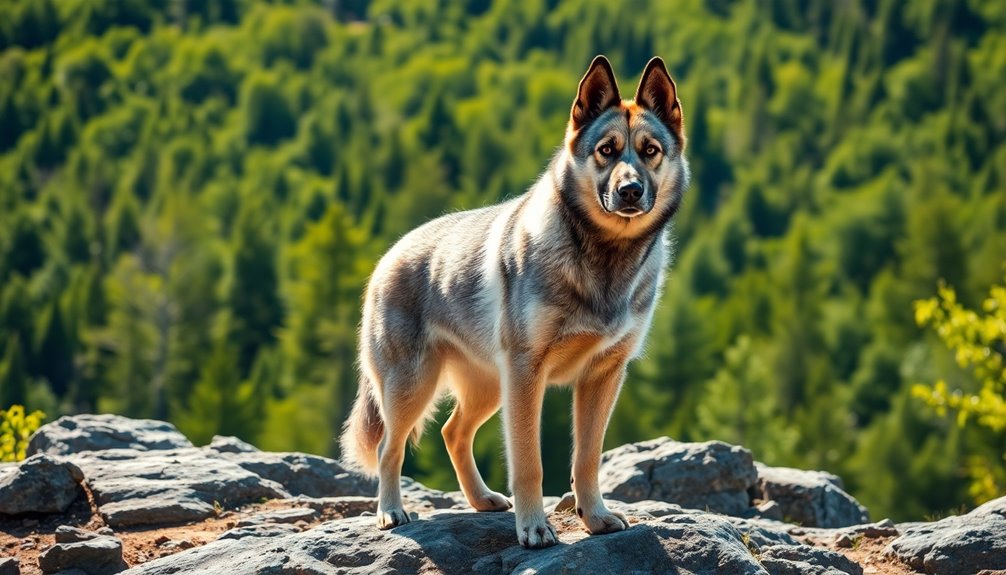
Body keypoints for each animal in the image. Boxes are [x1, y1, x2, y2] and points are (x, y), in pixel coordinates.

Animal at [342, 53, 688, 546]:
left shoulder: (603, 375)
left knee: (453, 432)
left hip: (487, 385)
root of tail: (389, 256)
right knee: (392, 447)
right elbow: (529, 463)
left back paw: (482, 499)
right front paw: (534, 529)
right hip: (413, 385)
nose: (630, 191)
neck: (604, 255)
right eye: (606, 149)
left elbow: (587, 458)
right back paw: (391, 511)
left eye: (650, 150)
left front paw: (595, 517)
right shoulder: (527, 372)